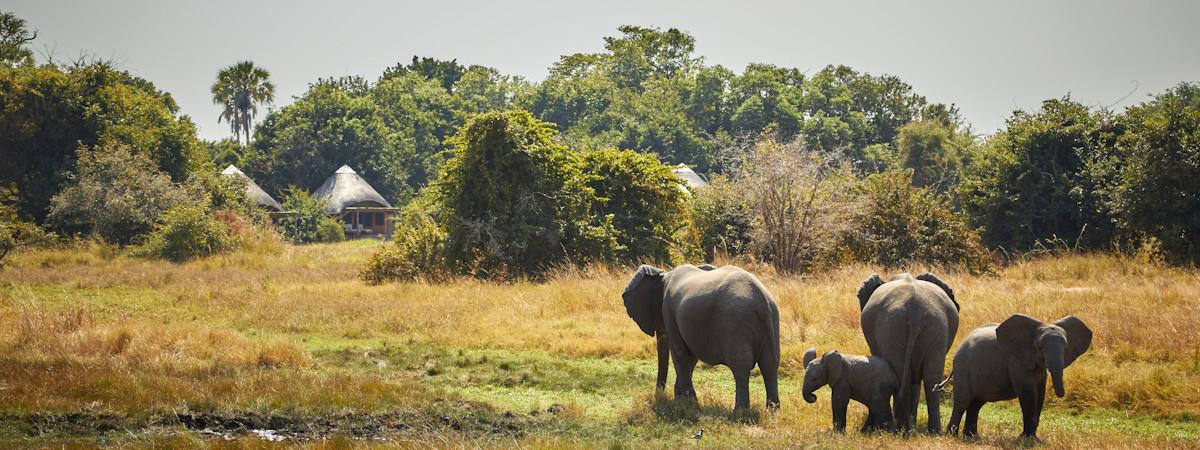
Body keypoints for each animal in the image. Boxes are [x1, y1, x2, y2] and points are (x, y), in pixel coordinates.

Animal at [624, 264, 782, 412]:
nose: (658, 397)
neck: (664, 274)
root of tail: (761, 300)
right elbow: (690, 357)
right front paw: (683, 400)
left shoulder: (668, 311)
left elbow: (680, 353)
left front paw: (689, 404)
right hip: (772, 320)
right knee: (769, 363)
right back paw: (772, 411)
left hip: (735, 323)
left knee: (741, 364)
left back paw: (739, 413)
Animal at [859, 271, 960, 434]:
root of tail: (915, 312)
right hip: (935, 328)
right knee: (931, 378)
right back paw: (931, 431)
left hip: (892, 330)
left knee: (901, 377)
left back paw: (900, 429)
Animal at [950, 314, 1094, 441]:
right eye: (1040, 348)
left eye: (1065, 348)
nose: (1061, 395)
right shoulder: (1017, 361)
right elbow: (1029, 394)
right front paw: (1027, 440)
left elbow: (1040, 395)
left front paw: (1033, 439)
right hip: (963, 368)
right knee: (962, 403)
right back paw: (952, 436)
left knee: (976, 404)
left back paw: (972, 437)